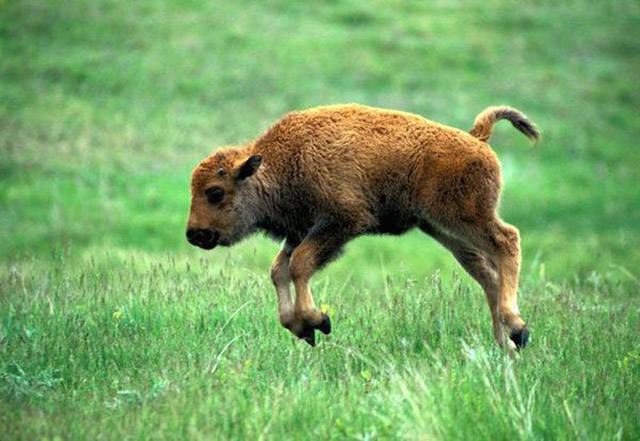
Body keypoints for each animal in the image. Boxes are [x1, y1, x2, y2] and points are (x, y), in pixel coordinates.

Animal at [186, 104, 540, 350]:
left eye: (214, 192)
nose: (194, 234)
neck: (282, 161)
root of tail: (476, 138)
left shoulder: (341, 223)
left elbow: (299, 265)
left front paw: (318, 321)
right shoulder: (301, 232)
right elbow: (280, 270)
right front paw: (301, 328)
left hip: (465, 217)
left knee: (507, 241)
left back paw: (516, 328)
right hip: (442, 228)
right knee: (486, 274)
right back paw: (507, 345)